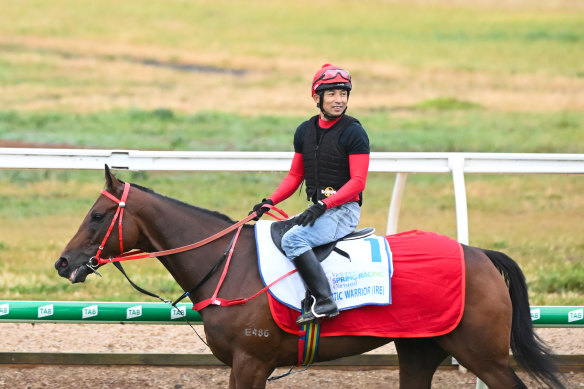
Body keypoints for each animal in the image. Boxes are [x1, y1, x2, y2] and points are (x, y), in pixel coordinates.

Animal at [56, 165, 564, 386]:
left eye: (98, 215)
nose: (62, 262)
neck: (227, 264)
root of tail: (478, 254)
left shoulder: (251, 362)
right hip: (421, 350)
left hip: (483, 355)